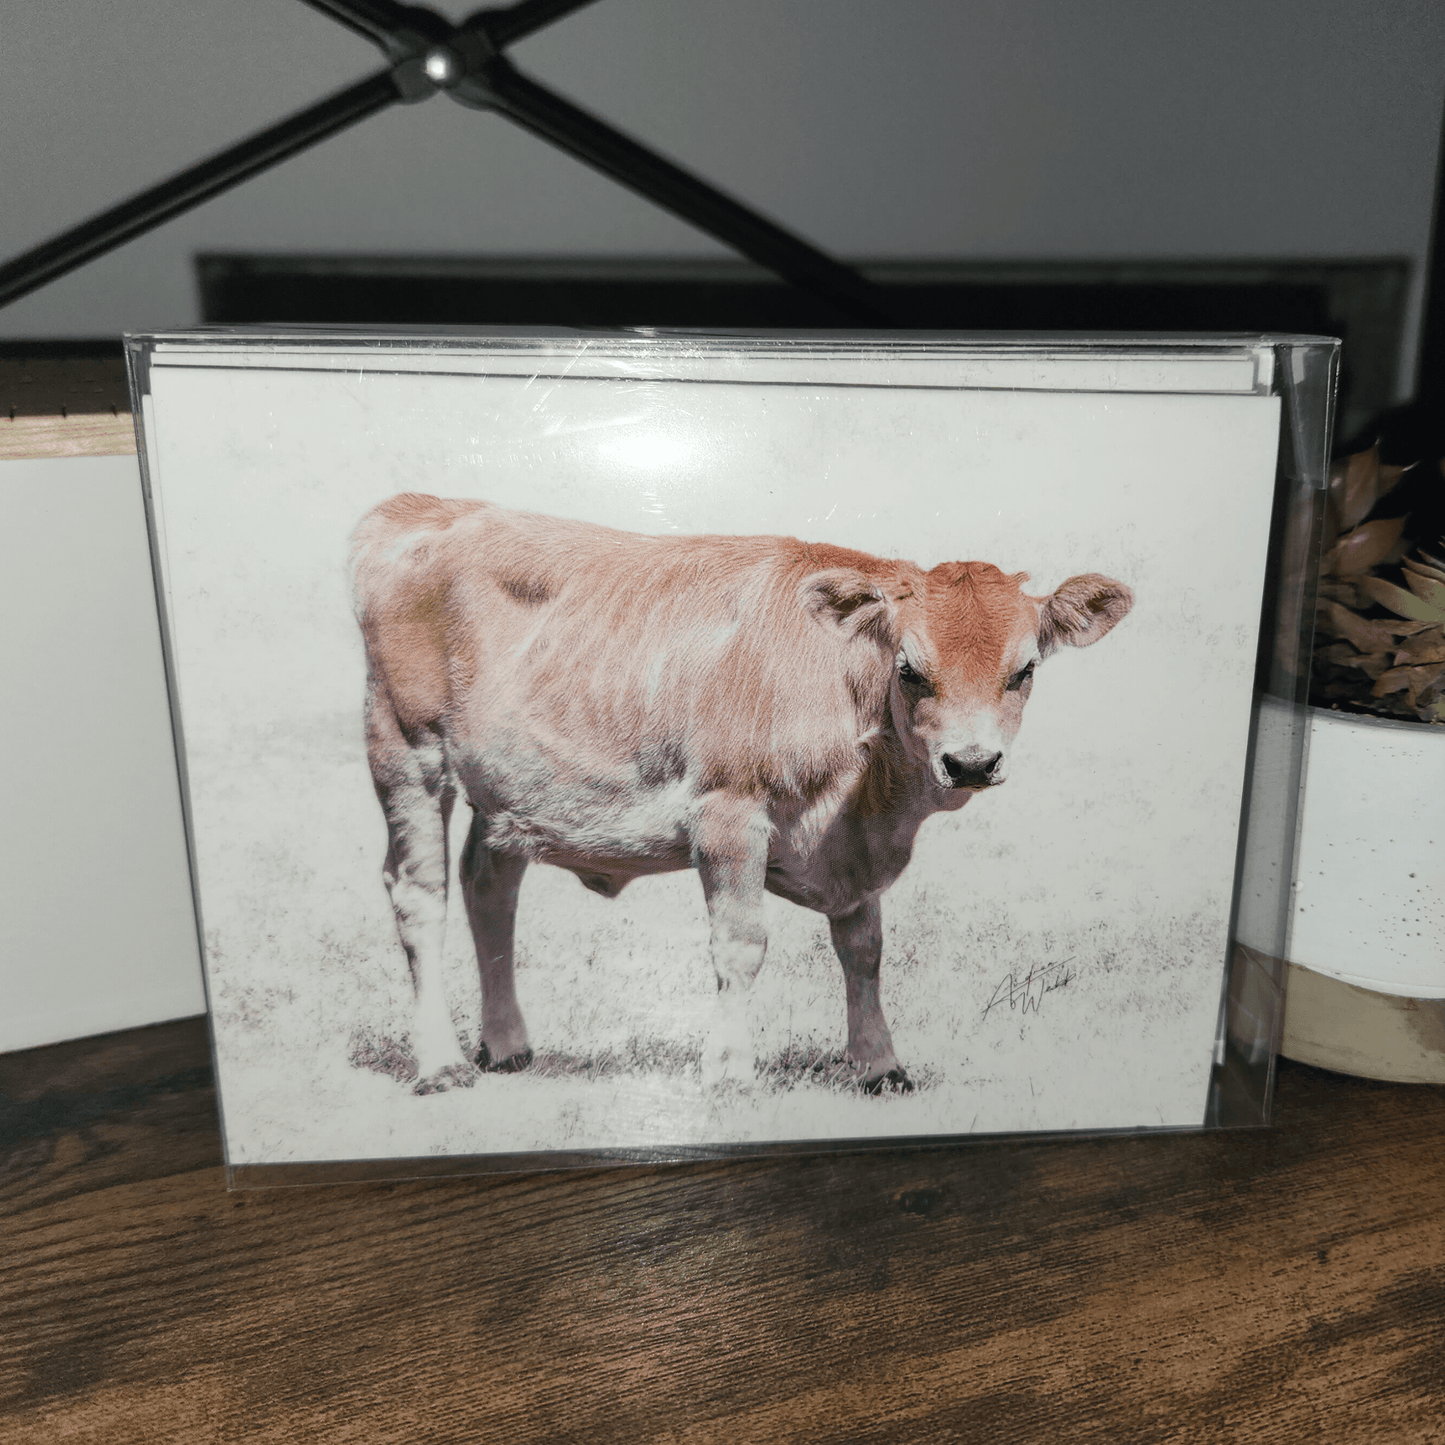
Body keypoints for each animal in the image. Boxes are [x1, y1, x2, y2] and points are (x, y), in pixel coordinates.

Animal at [350, 493, 1133, 1095]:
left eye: (1023, 670)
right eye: (910, 670)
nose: (970, 762)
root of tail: (429, 506)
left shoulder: (852, 846)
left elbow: (864, 949)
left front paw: (880, 1065)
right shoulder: (728, 812)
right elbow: (740, 945)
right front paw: (728, 1068)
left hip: (512, 787)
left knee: (489, 886)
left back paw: (507, 1045)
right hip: (406, 748)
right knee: (419, 897)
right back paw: (441, 1062)